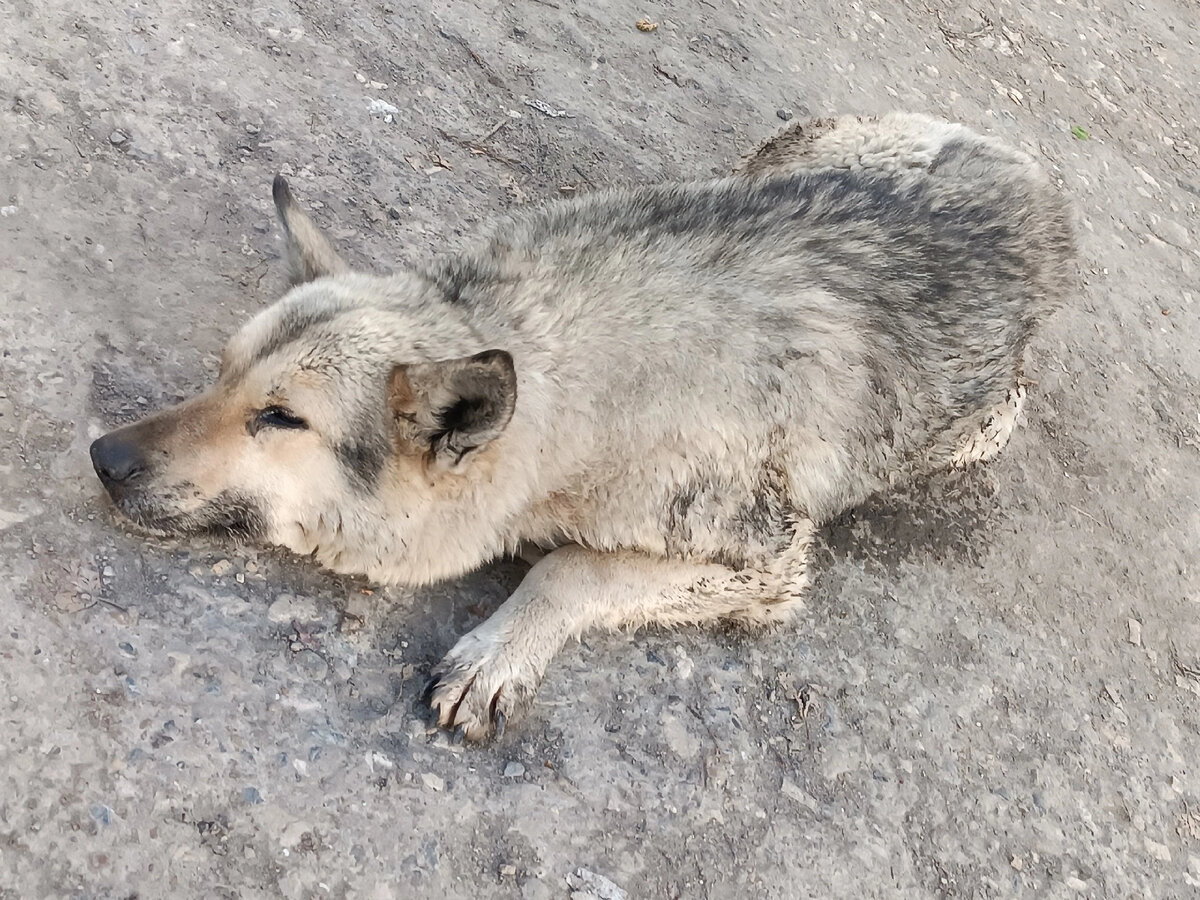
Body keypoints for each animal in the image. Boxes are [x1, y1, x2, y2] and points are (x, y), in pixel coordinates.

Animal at [88, 114, 1075, 739]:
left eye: (280, 418)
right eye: (221, 377)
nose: (102, 455)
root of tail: (1031, 169)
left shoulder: (771, 565)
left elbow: (572, 568)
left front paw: (498, 652)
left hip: (988, 426)